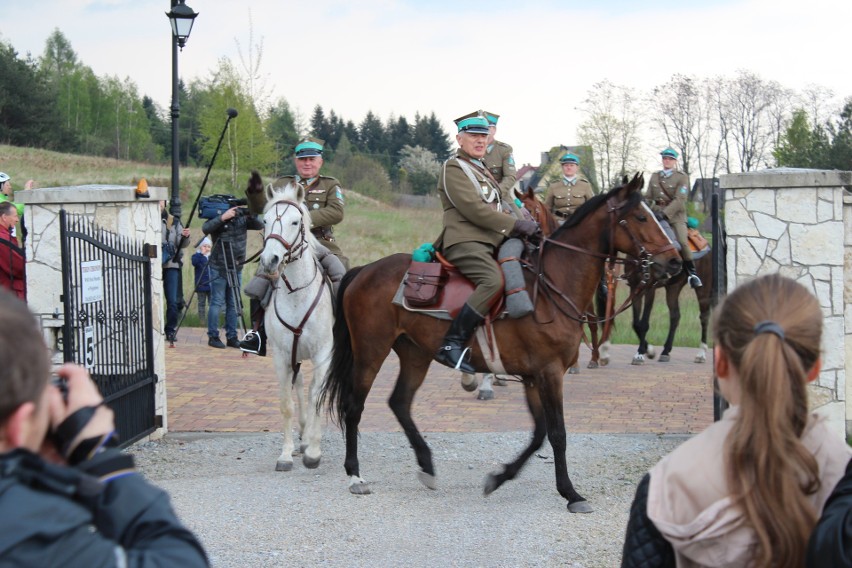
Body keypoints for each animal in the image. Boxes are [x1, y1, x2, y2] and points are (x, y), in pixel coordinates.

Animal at [256, 181, 332, 470]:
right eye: (264, 220)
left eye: (295, 221)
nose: (270, 260)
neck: (298, 293)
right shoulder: (281, 356)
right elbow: (286, 403)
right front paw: (286, 454)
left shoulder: (323, 355)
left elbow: (317, 398)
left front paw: (314, 452)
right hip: (295, 356)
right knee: (299, 388)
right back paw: (302, 436)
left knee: (310, 392)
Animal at [318, 173, 680, 510]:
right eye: (641, 216)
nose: (675, 261)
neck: (550, 285)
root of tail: (365, 270)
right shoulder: (550, 373)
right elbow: (558, 434)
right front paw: (571, 493)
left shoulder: (534, 377)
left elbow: (539, 435)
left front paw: (499, 477)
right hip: (371, 351)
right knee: (354, 406)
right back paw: (355, 475)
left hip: (415, 354)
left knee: (399, 403)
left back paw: (426, 465)